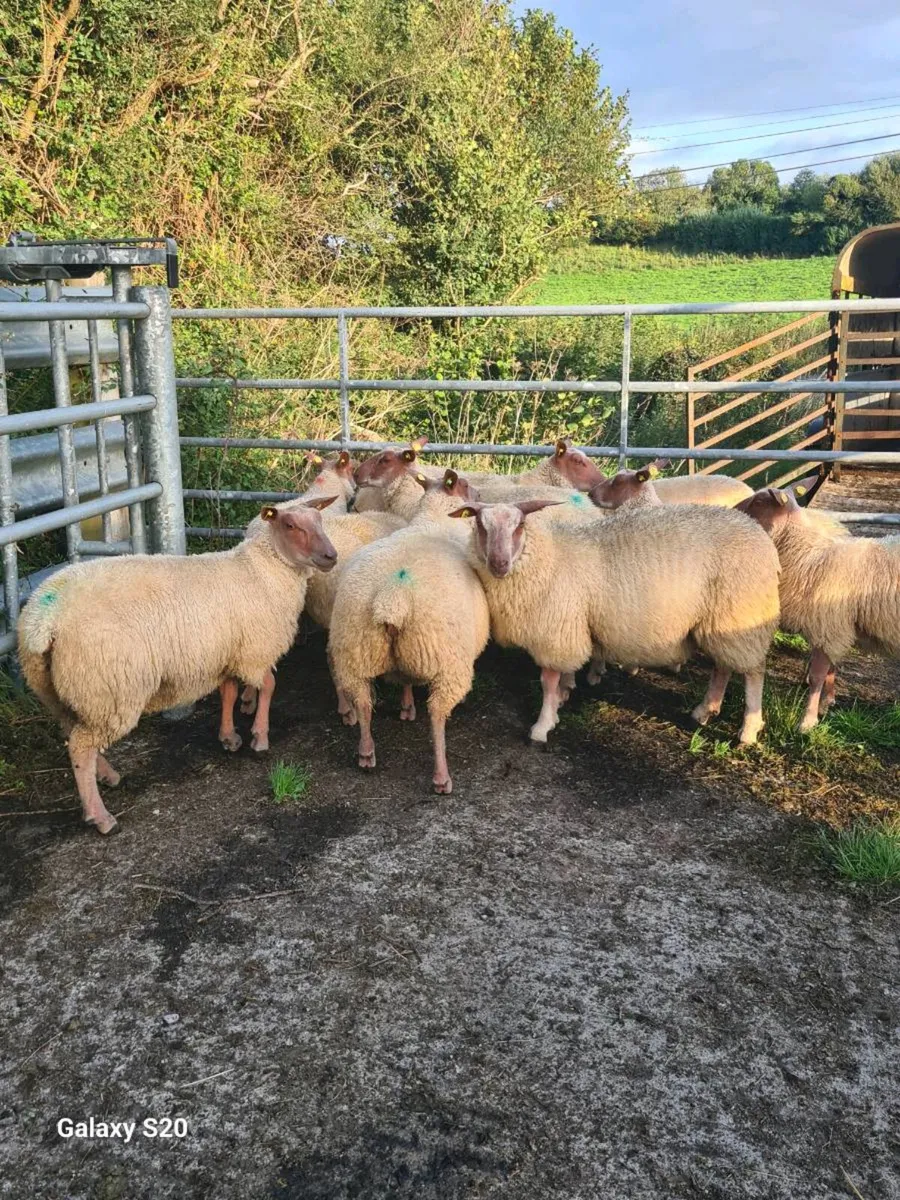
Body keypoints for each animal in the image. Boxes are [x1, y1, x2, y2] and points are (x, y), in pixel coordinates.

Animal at [17, 499, 338, 834]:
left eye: (319, 520)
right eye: (290, 525)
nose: (332, 556)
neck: (263, 569)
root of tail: (43, 619)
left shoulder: (226, 652)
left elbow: (228, 692)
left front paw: (229, 737)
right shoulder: (254, 650)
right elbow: (269, 687)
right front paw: (260, 738)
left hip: (60, 688)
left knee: (74, 734)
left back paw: (107, 777)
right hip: (109, 689)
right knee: (80, 747)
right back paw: (101, 817)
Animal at [328, 469, 488, 793]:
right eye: (465, 485)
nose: (480, 495)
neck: (435, 518)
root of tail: (393, 596)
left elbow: (404, 678)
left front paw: (405, 707)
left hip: (353, 648)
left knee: (363, 701)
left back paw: (366, 754)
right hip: (446, 659)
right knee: (437, 713)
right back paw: (441, 776)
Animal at [447, 500, 781, 746]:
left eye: (519, 526)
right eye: (480, 525)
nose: (499, 564)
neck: (549, 557)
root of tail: (760, 535)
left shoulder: (554, 632)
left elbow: (547, 681)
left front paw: (543, 725)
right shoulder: (572, 627)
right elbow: (564, 674)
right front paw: (562, 699)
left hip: (743, 615)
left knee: (753, 672)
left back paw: (748, 730)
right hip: (721, 621)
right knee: (723, 667)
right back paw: (704, 711)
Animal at [734, 478, 898, 732]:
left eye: (760, 501)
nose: (732, 510)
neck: (806, 552)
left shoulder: (828, 625)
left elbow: (817, 676)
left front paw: (807, 722)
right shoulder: (834, 627)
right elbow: (830, 668)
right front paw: (826, 704)